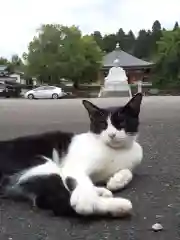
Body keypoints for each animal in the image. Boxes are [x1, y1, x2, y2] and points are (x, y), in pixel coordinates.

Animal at [0, 93, 143, 218]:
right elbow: (81, 181)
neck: (116, 151)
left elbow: (128, 171)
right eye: (103, 124)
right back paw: (118, 205)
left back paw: (103, 194)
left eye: (122, 123)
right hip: (42, 165)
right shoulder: (73, 167)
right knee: (60, 202)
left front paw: (117, 180)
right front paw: (85, 201)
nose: (112, 135)